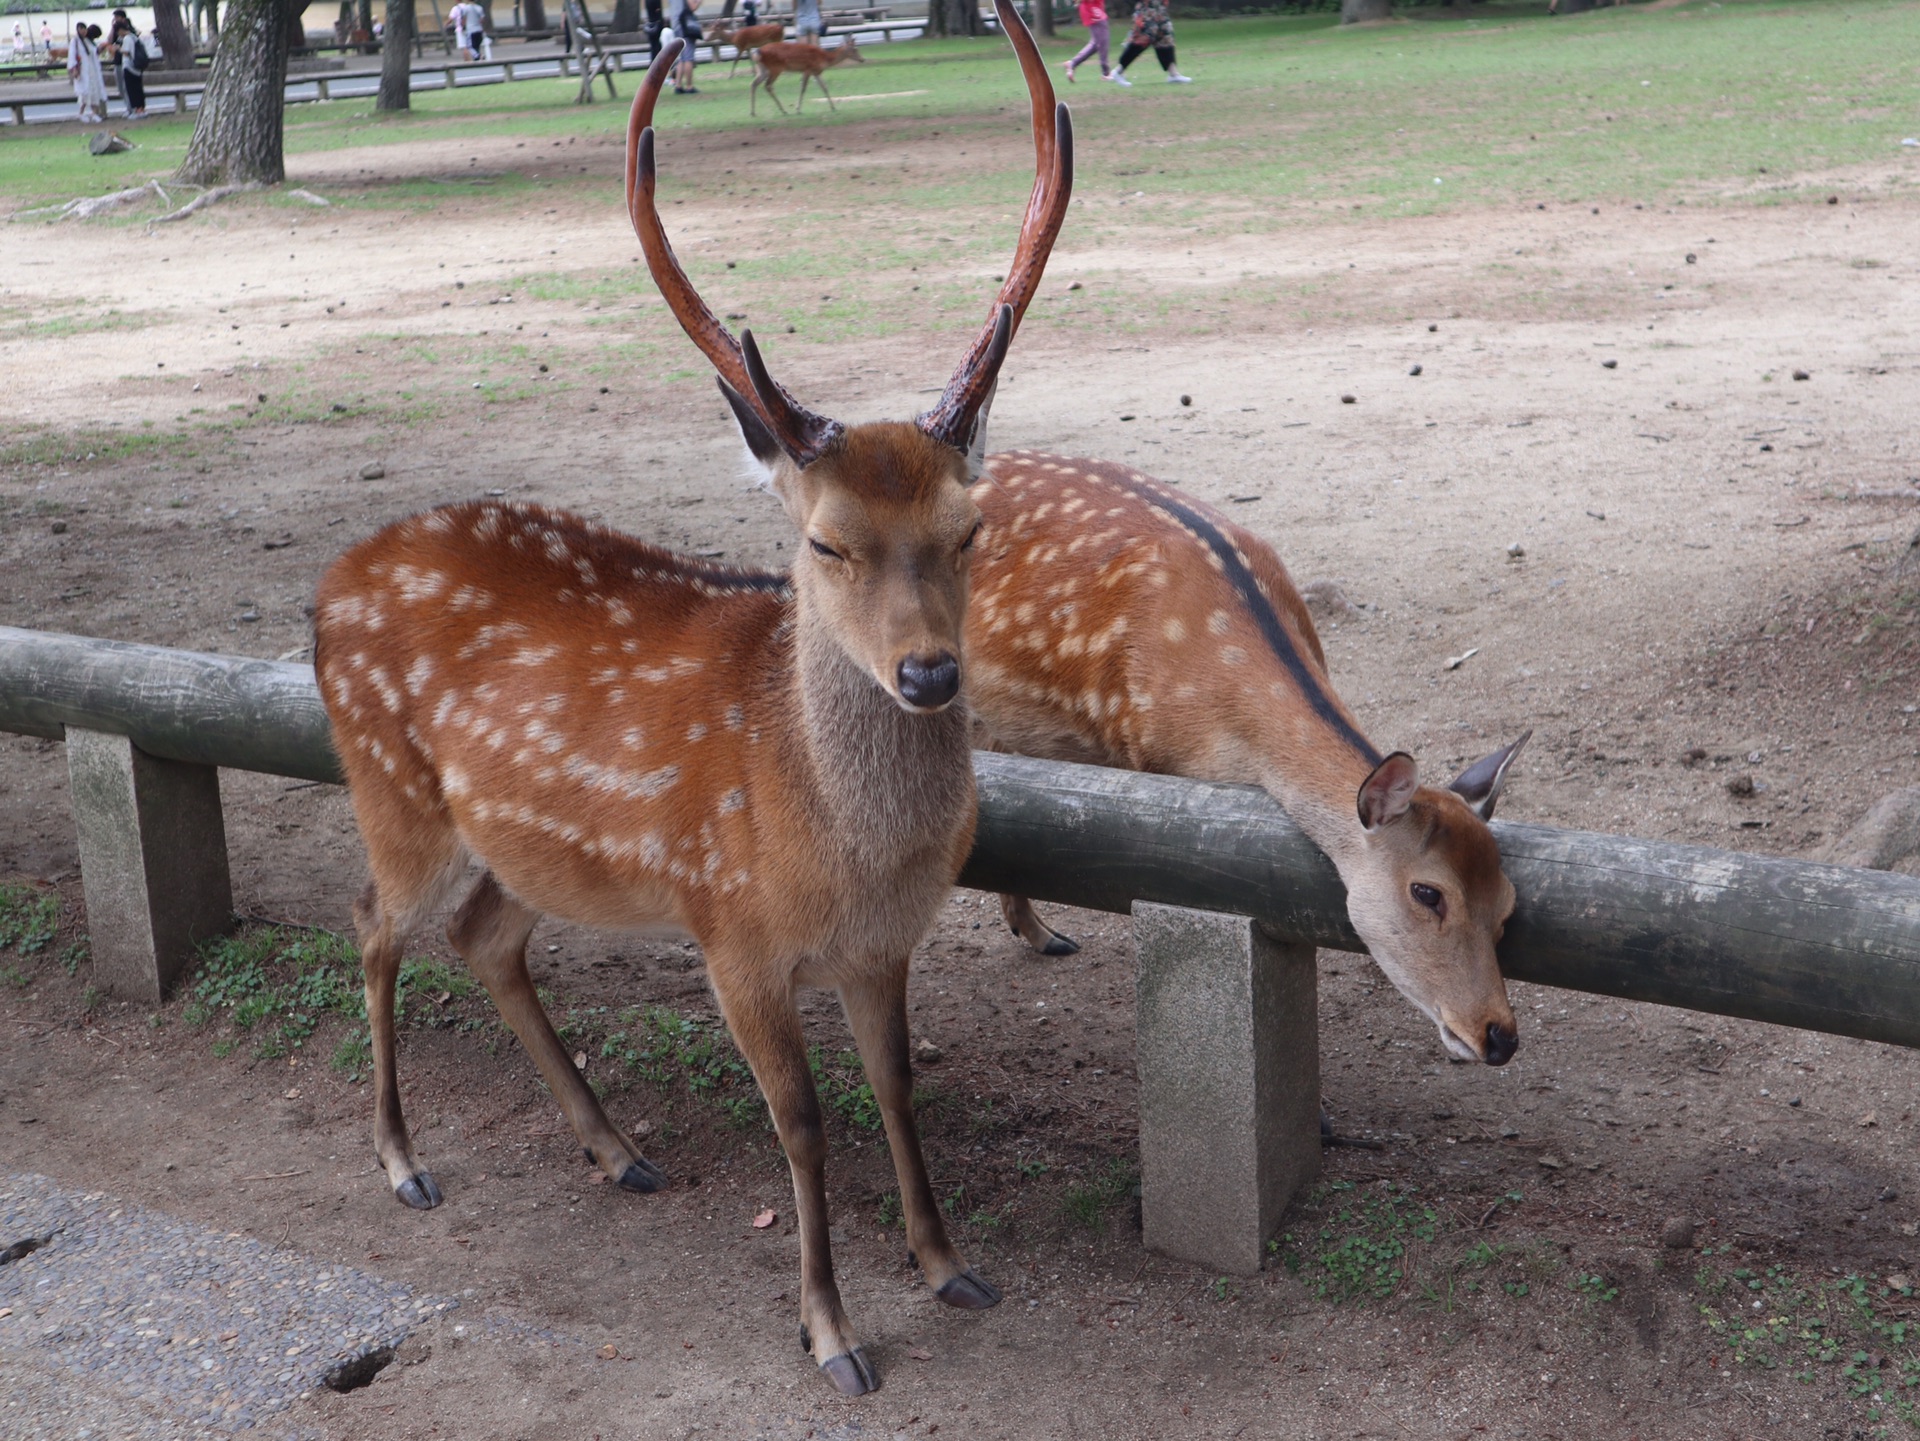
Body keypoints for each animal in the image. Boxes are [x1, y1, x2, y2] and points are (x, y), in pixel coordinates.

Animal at [309, 2, 1075, 1396]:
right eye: (825, 542)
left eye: (971, 527)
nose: (930, 673)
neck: (841, 856)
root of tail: (325, 588)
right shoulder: (732, 933)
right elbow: (805, 1118)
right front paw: (831, 1331)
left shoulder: (882, 944)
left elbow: (898, 1089)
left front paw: (949, 1265)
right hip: (392, 791)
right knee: (374, 922)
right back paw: (402, 1162)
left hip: (533, 843)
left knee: (481, 936)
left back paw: (618, 1151)